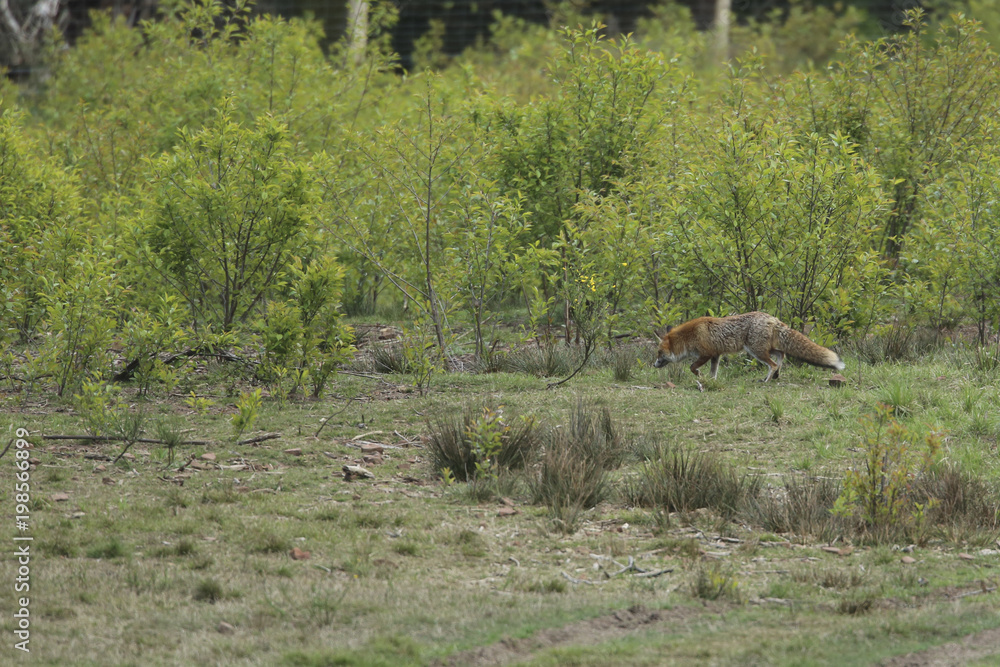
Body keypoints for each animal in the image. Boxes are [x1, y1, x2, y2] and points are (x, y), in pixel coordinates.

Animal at [653, 311, 844, 384]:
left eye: (659, 353)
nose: (653, 365)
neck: (690, 336)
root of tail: (772, 317)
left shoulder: (706, 353)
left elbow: (693, 367)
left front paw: (700, 376)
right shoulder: (716, 355)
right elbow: (713, 373)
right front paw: (710, 381)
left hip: (755, 351)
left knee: (773, 363)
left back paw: (767, 380)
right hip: (763, 349)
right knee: (781, 355)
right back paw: (776, 375)